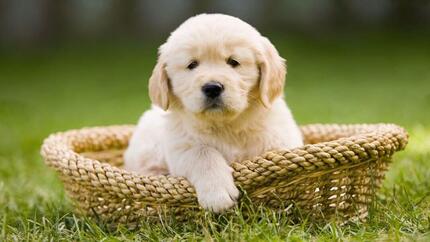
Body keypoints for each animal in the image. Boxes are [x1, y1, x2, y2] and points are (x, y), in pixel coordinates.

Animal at [125, 14, 302, 213]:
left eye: (233, 62)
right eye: (192, 65)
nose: (212, 88)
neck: (227, 126)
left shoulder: (281, 139)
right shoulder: (180, 146)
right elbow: (203, 153)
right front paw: (217, 195)